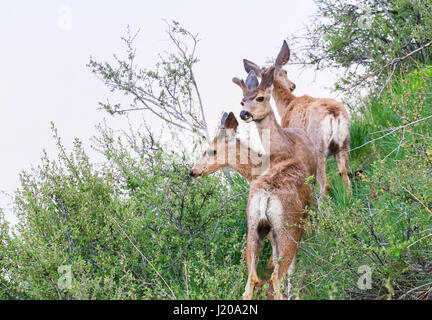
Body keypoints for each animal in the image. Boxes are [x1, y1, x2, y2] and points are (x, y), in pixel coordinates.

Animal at [231, 68, 316, 300]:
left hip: (254, 228)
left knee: (252, 280)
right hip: (287, 228)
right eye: (243, 101)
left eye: (259, 98)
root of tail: (266, 197)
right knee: (276, 276)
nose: (244, 114)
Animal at [243, 40, 352, 195]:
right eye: (285, 71)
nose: (293, 85)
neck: (287, 105)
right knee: (345, 174)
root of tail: (333, 113)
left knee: (325, 184)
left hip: (318, 148)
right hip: (345, 143)